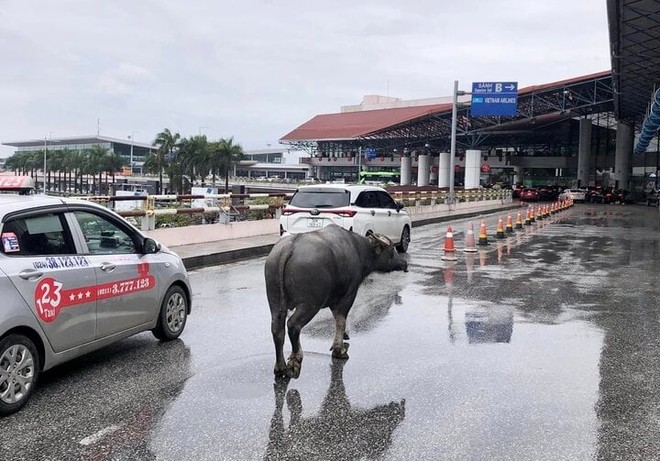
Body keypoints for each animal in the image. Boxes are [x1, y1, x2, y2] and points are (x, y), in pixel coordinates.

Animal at [264, 223, 408, 378]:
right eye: (392, 250)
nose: (405, 263)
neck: (358, 250)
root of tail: (290, 246)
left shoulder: (334, 300)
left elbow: (337, 319)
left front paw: (343, 337)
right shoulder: (349, 295)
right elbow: (341, 320)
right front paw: (339, 351)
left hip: (274, 301)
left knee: (277, 329)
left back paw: (280, 367)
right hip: (310, 304)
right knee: (293, 325)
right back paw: (295, 361)